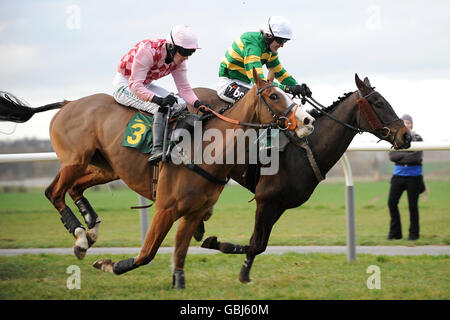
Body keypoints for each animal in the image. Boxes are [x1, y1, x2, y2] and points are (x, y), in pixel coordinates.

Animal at [0, 69, 314, 288]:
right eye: (274, 96)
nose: (308, 121)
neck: (207, 150)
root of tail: (68, 102)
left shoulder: (193, 212)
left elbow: (180, 253)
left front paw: (179, 279)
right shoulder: (166, 209)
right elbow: (147, 253)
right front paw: (109, 265)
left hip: (106, 167)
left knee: (75, 188)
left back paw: (90, 229)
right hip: (75, 160)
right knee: (53, 192)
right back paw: (79, 235)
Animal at [192, 73, 412, 282]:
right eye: (378, 103)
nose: (407, 136)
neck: (304, 148)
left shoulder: (279, 205)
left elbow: (258, 244)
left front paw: (239, 267)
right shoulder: (265, 199)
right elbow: (256, 244)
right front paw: (220, 249)